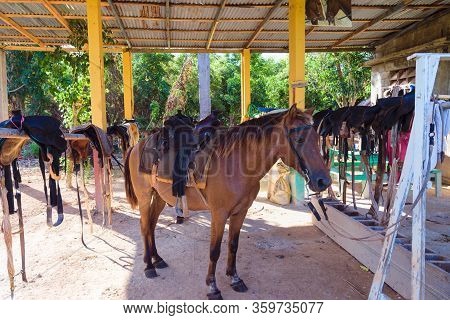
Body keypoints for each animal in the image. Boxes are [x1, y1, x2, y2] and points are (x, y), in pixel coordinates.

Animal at [123, 105, 330, 300]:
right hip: (144, 197)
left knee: (151, 225)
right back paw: (149, 266)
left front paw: (234, 278)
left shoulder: (240, 212)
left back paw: (157, 259)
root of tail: (136, 146)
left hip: (159, 197)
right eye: (300, 139)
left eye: (317, 139)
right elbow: (215, 251)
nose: (324, 181)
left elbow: (233, 245)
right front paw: (212, 287)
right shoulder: (219, 214)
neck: (236, 165)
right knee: (144, 226)